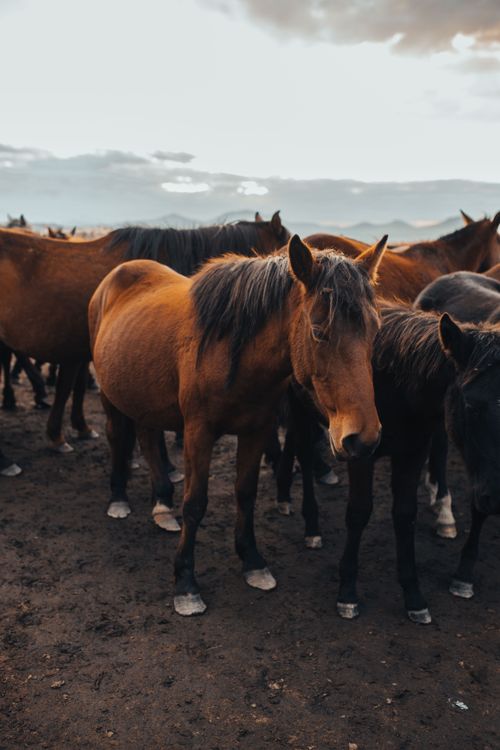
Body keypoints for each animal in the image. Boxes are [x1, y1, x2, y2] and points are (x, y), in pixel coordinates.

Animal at [89, 235, 387, 616]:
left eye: (374, 330)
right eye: (319, 331)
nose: (363, 438)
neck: (233, 351)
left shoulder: (256, 431)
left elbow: (246, 493)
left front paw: (253, 561)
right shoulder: (198, 433)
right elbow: (195, 503)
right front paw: (185, 582)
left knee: (148, 437)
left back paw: (162, 505)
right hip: (110, 395)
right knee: (117, 437)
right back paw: (119, 499)